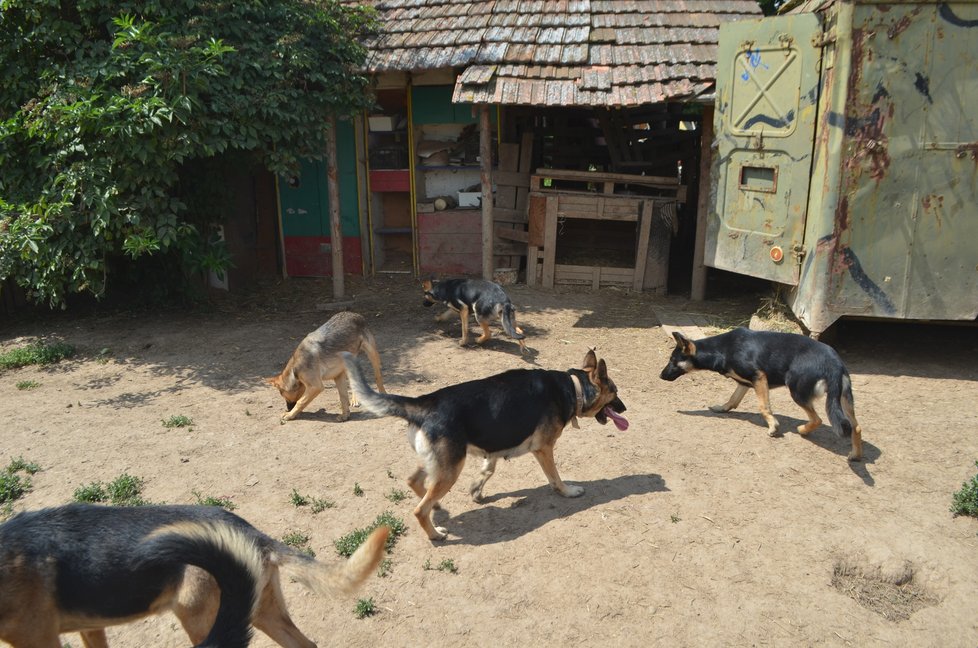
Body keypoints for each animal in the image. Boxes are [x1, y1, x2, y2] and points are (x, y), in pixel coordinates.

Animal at [340, 350, 624, 540]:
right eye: (616, 392)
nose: (625, 409)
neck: (574, 387)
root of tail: (423, 402)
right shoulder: (543, 449)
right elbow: (555, 477)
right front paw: (568, 491)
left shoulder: (494, 445)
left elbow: (488, 470)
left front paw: (476, 490)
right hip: (451, 468)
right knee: (419, 510)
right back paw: (435, 534)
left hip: (440, 463)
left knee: (413, 481)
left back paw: (437, 507)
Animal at [656, 330, 860, 460]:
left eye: (672, 360)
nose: (660, 376)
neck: (721, 350)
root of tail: (834, 364)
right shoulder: (745, 382)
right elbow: (733, 399)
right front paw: (722, 408)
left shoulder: (759, 377)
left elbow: (763, 406)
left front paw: (773, 427)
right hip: (844, 399)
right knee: (855, 427)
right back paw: (856, 455)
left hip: (797, 390)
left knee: (817, 419)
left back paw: (802, 430)